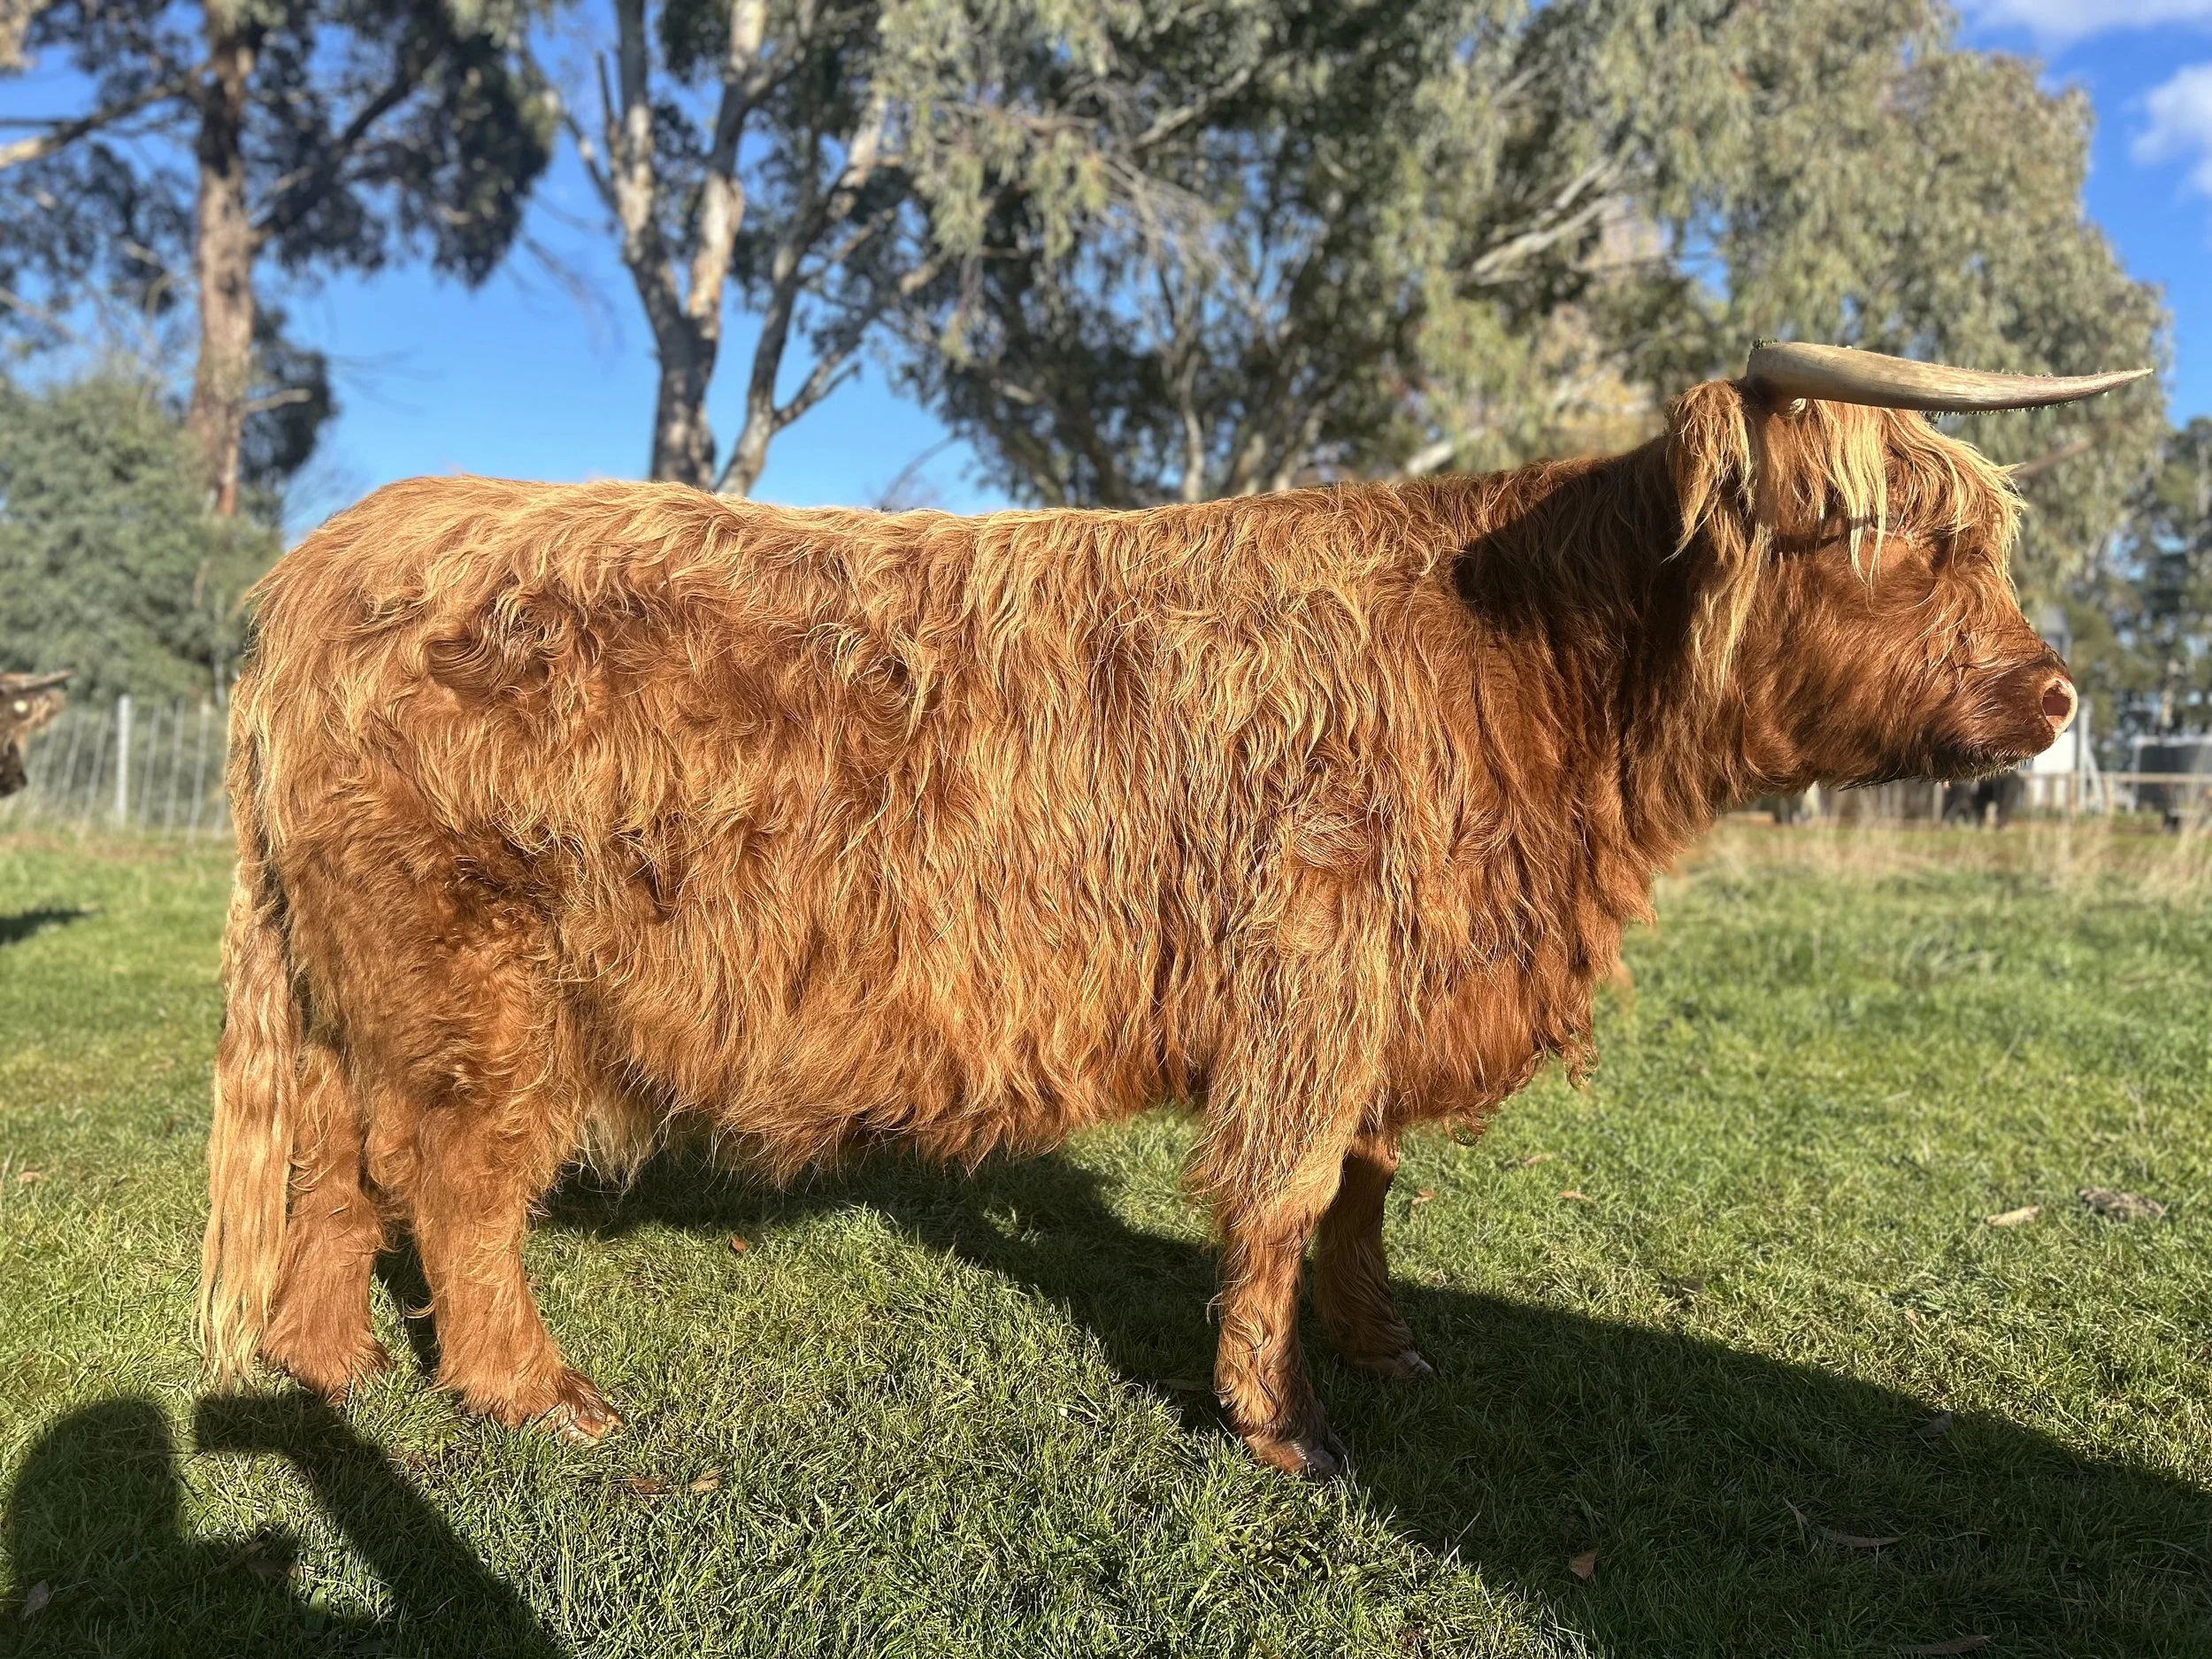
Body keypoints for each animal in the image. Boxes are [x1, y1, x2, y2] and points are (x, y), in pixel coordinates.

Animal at [201, 345, 2142, 1476]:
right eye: (1906, 544)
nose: (2054, 695)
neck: (1528, 677)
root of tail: (332, 555)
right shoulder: (1316, 965)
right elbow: (1282, 1189)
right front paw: (1275, 1422)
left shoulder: (1387, 984)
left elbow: (1362, 1185)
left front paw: (1382, 1346)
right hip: (470, 975)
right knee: (455, 1174)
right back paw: (532, 1394)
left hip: (358, 976)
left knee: (337, 1160)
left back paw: (320, 1369)